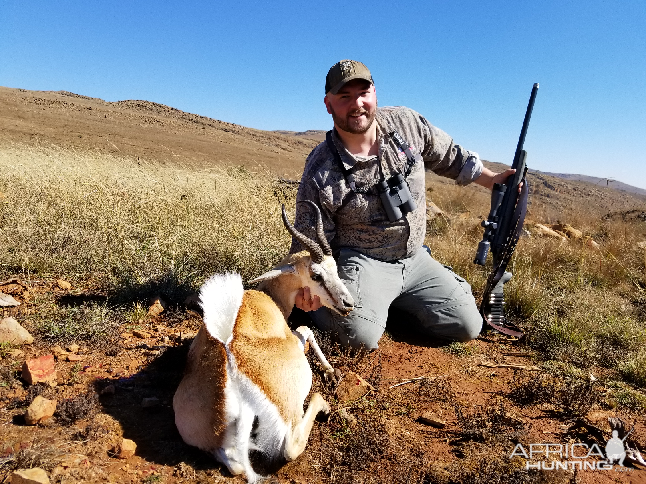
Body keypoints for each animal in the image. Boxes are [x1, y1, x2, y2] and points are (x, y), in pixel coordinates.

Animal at [172, 202, 354, 482]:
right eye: (316, 275)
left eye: (335, 267)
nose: (348, 303)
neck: (266, 298)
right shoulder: (294, 337)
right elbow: (307, 330)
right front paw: (332, 372)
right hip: (292, 400)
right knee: (290, 446)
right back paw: (323, 404)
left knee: (236, 465)